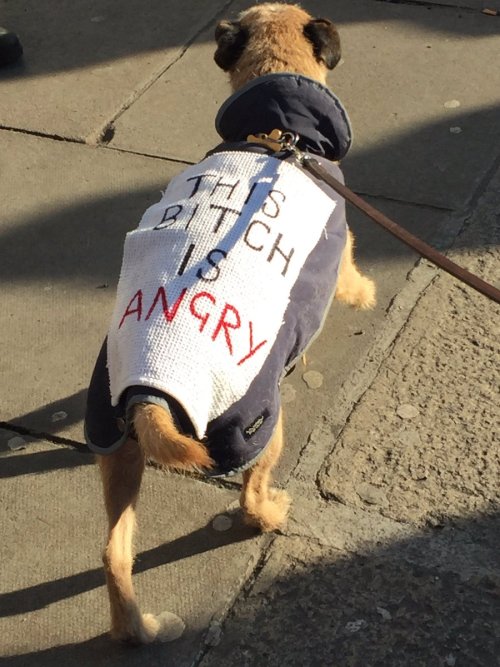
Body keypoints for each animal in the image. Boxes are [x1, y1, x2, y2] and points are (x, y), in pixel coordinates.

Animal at [86, 2, 376, 644]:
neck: (276, 134)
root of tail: (150, 388)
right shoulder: (340, 250)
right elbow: (350, 280)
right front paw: (367, 296)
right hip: (261, 428)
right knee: (248, 497)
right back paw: (269, 514)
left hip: (114, 441)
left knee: (114, 554)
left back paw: (132, 629)